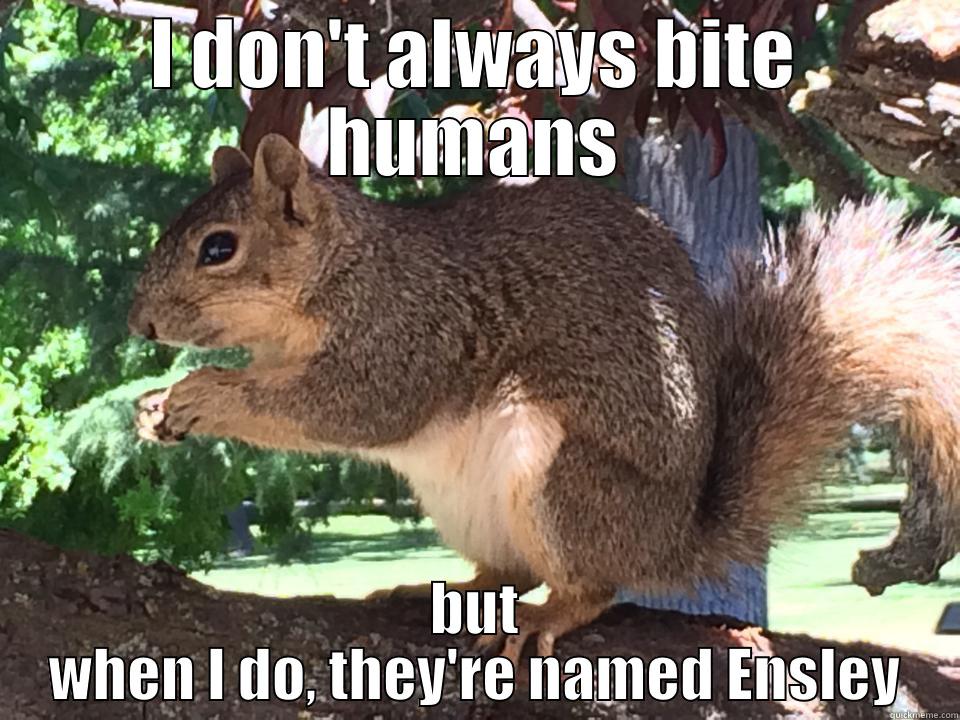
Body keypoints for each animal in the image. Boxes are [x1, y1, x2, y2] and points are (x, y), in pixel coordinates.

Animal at [129, 133, 960, 661]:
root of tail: (674, 541)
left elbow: (347, 408)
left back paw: (548, 615)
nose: (140, 323)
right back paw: (439, 586)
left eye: (218, 248)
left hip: (562, 476)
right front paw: (152, 405)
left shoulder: (402, 336)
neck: (344, 269)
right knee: (509, 571)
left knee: (589, 584)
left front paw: (202, 396)